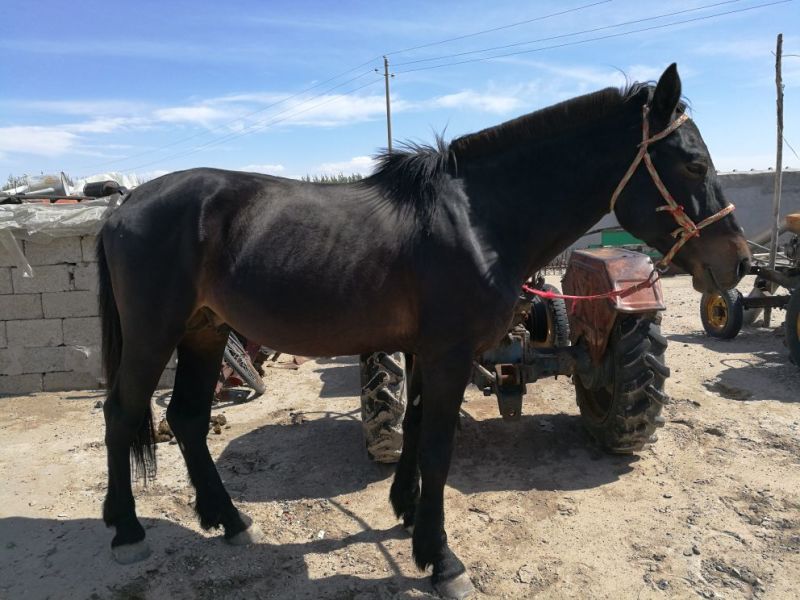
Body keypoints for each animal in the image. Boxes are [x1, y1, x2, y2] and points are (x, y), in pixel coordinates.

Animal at [97, 64, 749, 598]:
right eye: (693, 162)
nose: (739, 262)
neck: (477, 220)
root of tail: (124, 205)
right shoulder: (449, 354)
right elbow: (437, 449)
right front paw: (441, 560)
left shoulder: (422, 349)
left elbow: (412, 429)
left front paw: (406, 513)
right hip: (154, 334)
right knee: (123, 412)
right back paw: (127, 532)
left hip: (205, 332)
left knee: (185, 418)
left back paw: (229, 520)